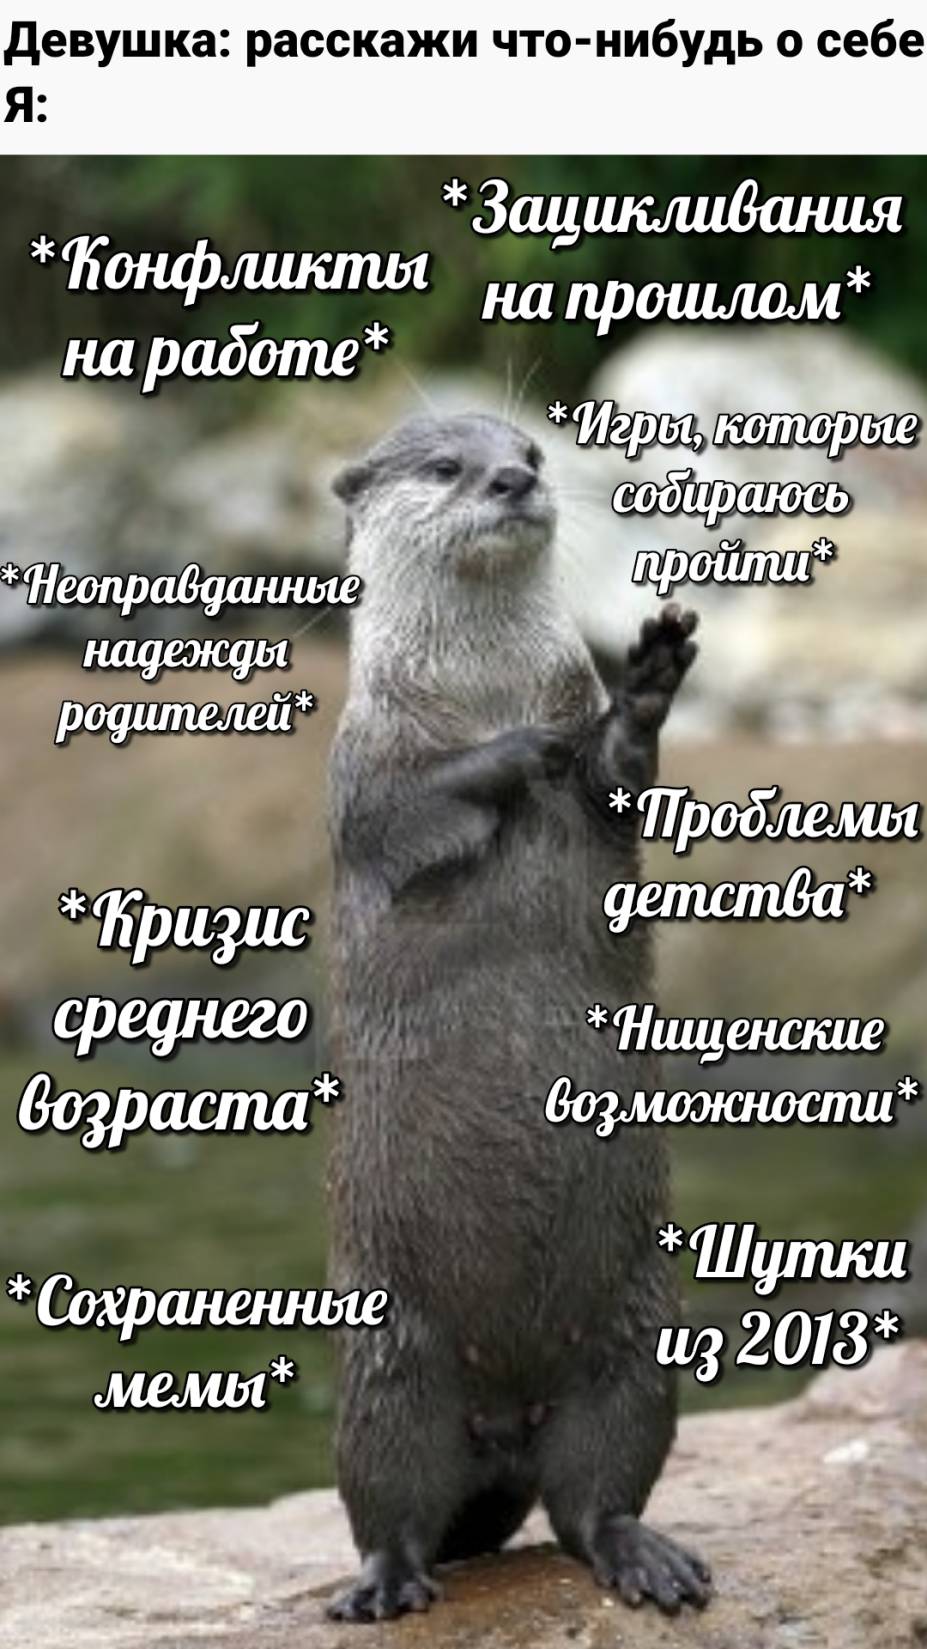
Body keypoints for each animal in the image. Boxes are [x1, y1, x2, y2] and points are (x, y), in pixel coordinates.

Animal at [325, 412, 708, 1622]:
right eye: (445, 466)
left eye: (530, 451)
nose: (508, 479)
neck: (483, 690)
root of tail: (505, 1419)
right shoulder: (363, 776)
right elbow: (415, 803)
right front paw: (515, 756)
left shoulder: (603, 776)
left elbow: (617, 773)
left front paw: (644, 684)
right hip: (389, 1362)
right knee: (390, 1498)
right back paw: (385, 1580)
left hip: (633, 1343)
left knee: (594, 1493)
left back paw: (641, 1555)